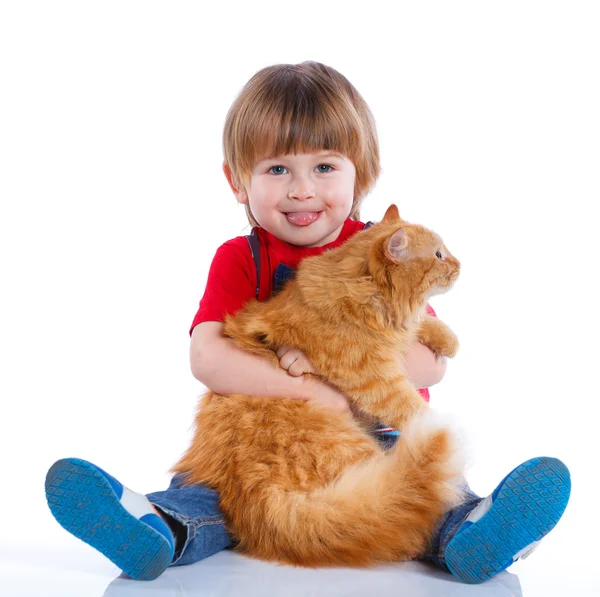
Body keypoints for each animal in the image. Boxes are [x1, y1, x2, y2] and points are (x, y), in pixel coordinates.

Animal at [173, 205, 464, 564]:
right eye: (438, 255)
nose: (459, 264)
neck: (365, 292)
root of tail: (258, 495)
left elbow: (424, 322)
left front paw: (448, 340)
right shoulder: (375, 376)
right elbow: (410, 405)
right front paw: (437, 420)